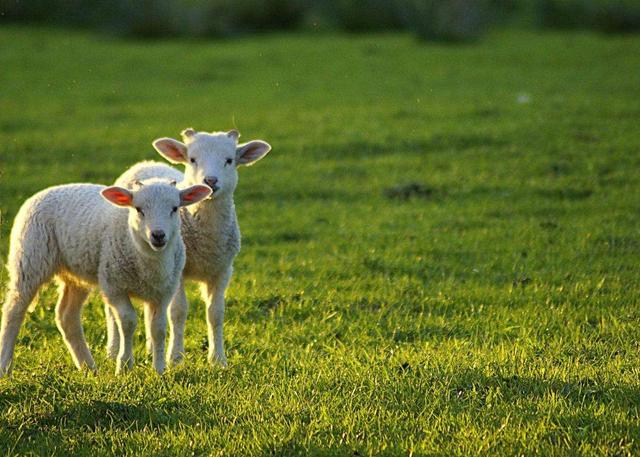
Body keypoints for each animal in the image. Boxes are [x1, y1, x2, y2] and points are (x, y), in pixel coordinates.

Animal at [0, 178, 211, 374]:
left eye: (174, 208)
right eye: (138, 209)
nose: (158, 235)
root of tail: (43, 192)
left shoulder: (163, 293)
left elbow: (158, 329)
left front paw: (159, 370)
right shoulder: (113, 287)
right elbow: (128, 322)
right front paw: (124, 366)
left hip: (76, 275)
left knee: (67, 316)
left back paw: (88, 367)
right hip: (30, 259)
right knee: (13, 310)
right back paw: (5, 366)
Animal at [114, 128, 272, 366]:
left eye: (229, 160)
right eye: (192, 159)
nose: (210, 180)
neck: (206, 240)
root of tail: (146, 163)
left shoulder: (223, 270)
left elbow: (216, 313)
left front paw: (218, 359)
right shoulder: (177, 271)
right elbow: (178, 312)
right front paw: (175, 357)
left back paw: (151, 348)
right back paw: (113, 349)